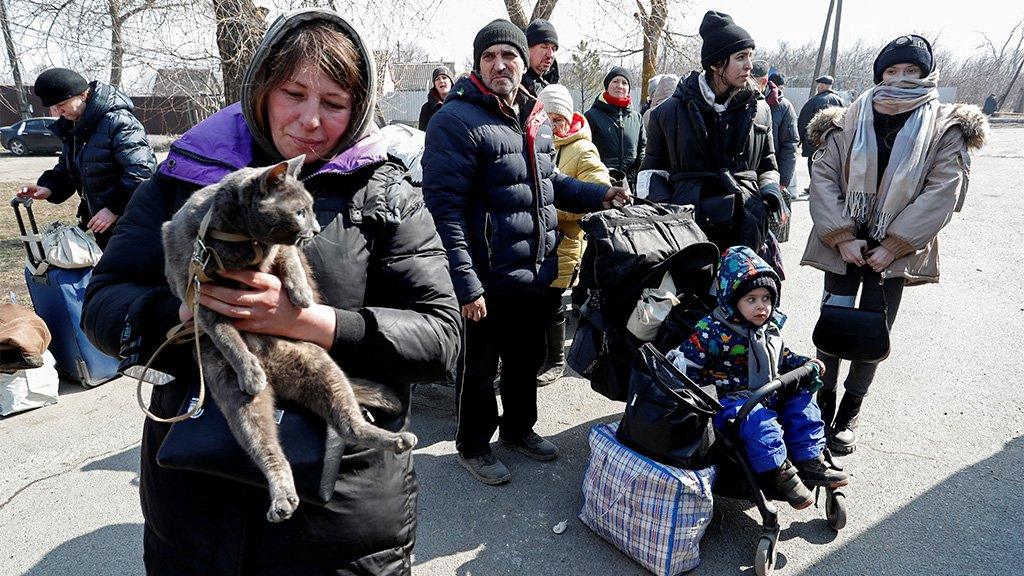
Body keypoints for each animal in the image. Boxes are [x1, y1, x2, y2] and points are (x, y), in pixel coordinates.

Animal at [160, 155, 415, 520]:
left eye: (311, 209)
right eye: (299, 212)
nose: (317, 229)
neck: (241, 241)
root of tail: (277, 374)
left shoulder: (277, 252)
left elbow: (290, 257)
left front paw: (301, 294)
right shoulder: (200, 297)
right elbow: (226, 337)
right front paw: (248, 368)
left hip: (321, 367)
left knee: (349, 424)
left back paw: (396, 440)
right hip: (236, 397)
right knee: (268, 450)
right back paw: (282, 498)